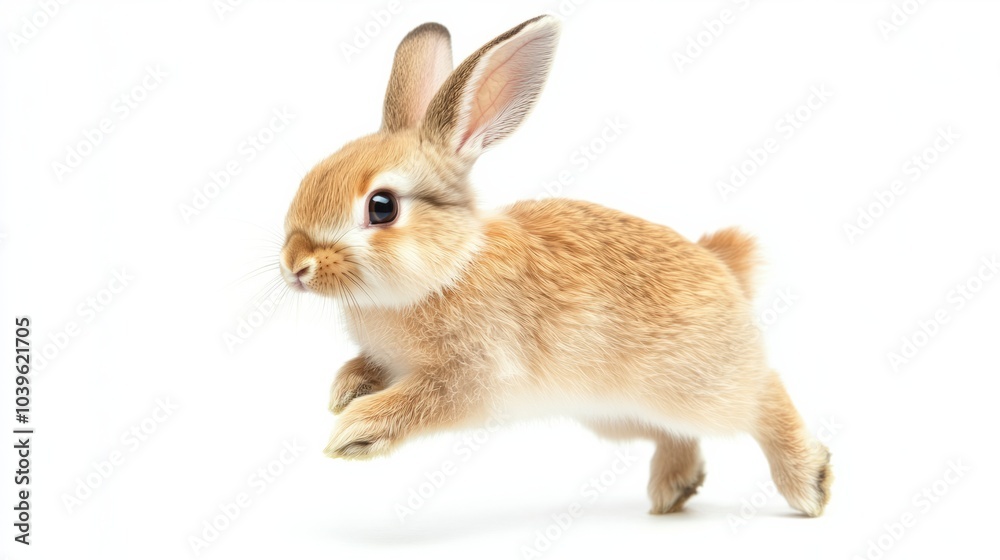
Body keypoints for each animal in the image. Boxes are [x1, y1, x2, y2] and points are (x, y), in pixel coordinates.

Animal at [279, 15, 832, 517]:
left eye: (382, 207)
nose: (294, 265)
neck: (450, 266)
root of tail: (724, 266)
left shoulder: (473, 377)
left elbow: (423, 399)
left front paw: (354, 430)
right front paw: (343, 392)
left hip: (700, 388)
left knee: (765, 397)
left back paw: (809, 483)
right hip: (617, 414)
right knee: (676, 434)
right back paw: (674, 490)